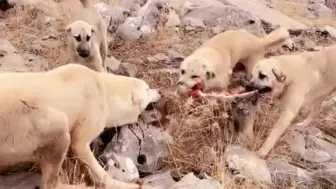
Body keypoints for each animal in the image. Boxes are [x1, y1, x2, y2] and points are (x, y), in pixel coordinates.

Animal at [0, 63, 161, 189]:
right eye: (148, 89)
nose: (159, 91)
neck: (103, 89)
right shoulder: (91, 109)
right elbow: (80, 144)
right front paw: (128, 184)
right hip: (23, 121)